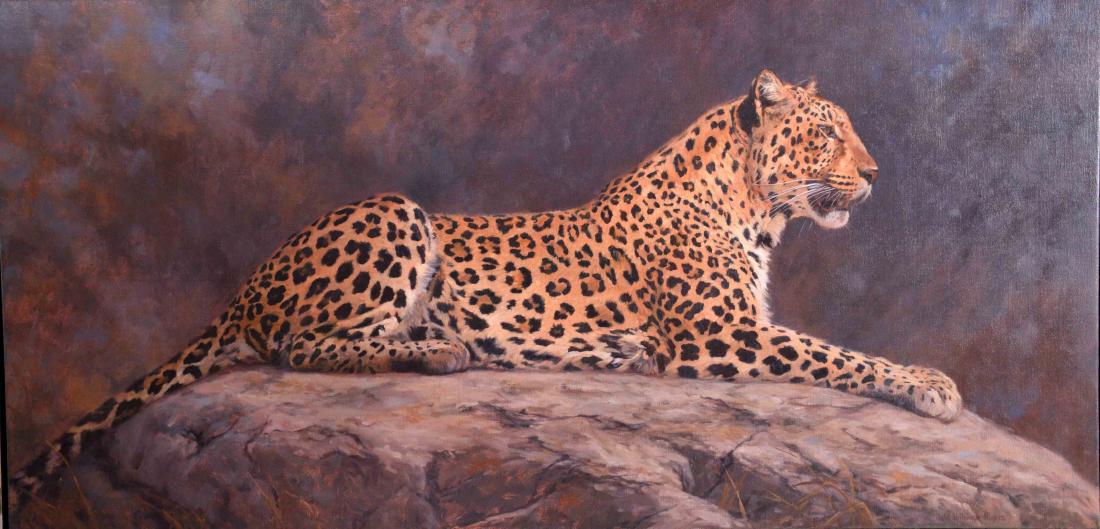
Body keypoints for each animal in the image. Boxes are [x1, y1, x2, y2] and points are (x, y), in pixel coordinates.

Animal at [10, 69, 961, 510]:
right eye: (827, 134)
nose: (877, 173)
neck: (755, 208)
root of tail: (247, 284)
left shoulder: (736, 328)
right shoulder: (718, 336)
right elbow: (840, 352)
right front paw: (933, 384)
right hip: (398, 211)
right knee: (310, 345)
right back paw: (443, 350)